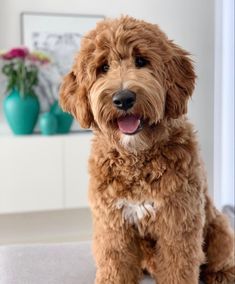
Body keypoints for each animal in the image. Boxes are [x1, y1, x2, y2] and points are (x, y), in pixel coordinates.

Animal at [59, 16, 234, 284]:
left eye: (141, 61)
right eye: (103, 67)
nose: (123, 98)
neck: (137, 158)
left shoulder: (179, 223)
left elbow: (179, 268)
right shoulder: (112, 225)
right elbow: (114, 264)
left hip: (219, 228)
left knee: (219, 259)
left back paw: (222, 274)